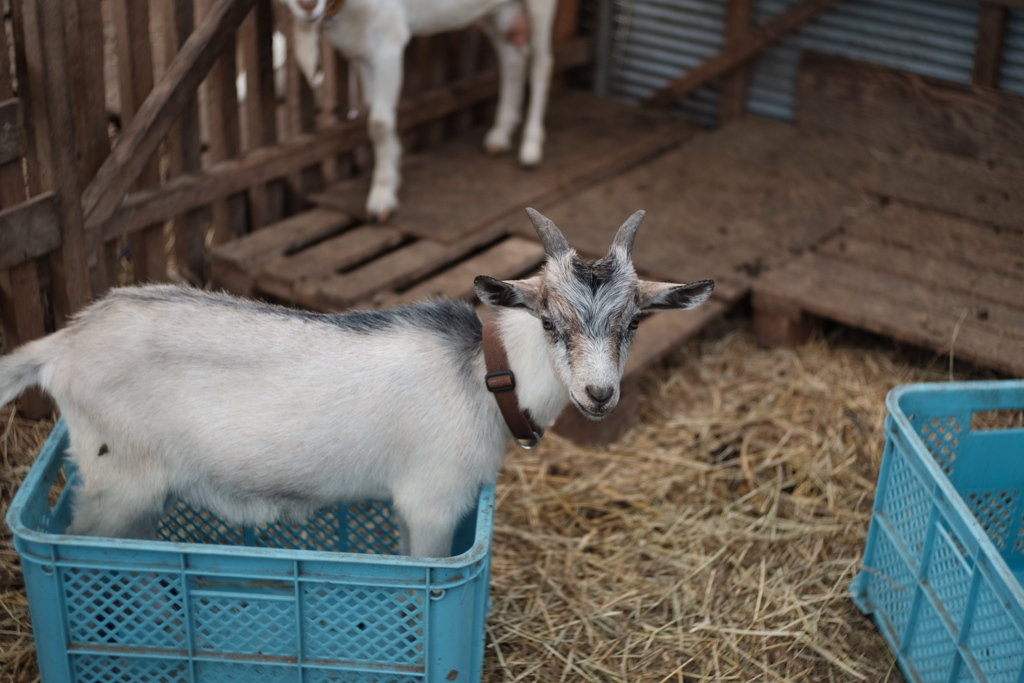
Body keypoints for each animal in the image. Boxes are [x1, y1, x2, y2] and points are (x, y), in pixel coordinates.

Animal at [0, 209, 713, 557]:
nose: (599, 395)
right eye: (548, 321)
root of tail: (65, 342)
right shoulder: (433, 500)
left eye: (634, 323)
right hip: (117, 479)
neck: (482, 373)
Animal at [280, 0, 561, 221]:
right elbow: (374, 111)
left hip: (540, 6)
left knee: (542, 65)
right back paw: (500, 134)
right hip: (497, 13)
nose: (307, 5)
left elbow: (379, 123)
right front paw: (394, 167)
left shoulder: (388, 43)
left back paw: (531, 147)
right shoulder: (363, 50)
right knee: (512, 61)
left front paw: (382, 196)